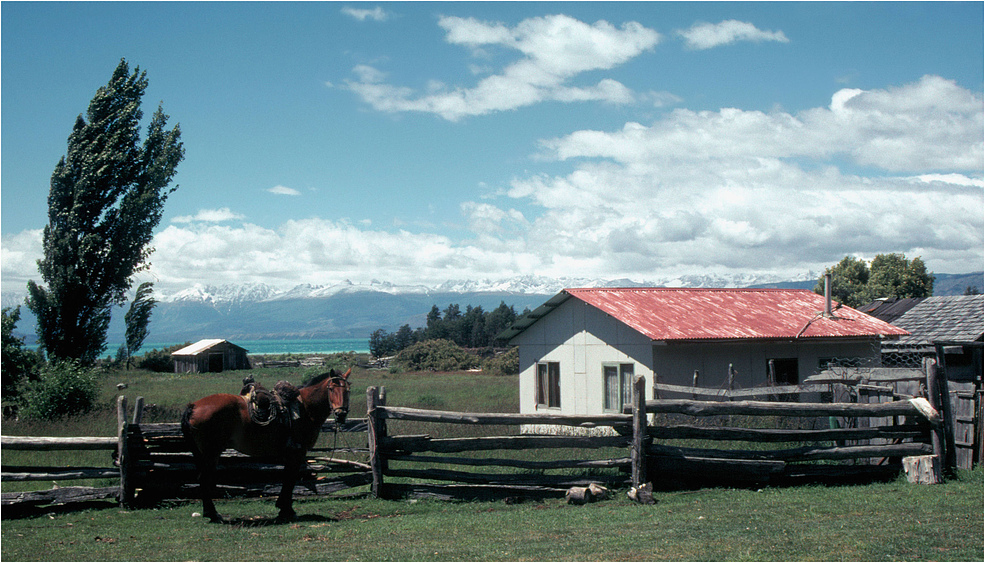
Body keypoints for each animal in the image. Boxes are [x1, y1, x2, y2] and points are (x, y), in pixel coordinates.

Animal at [181, 368, 350, 524]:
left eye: (347, 390)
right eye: (331, 389)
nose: (341, 414)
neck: (306, 409)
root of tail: (193, 406)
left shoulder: (291, 454)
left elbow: (287, 478)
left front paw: (283, 508)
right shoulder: (297, 452)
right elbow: (290, 479)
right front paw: (287, 510)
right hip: (211, 453)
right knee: (204, 479)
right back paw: (213, 514)